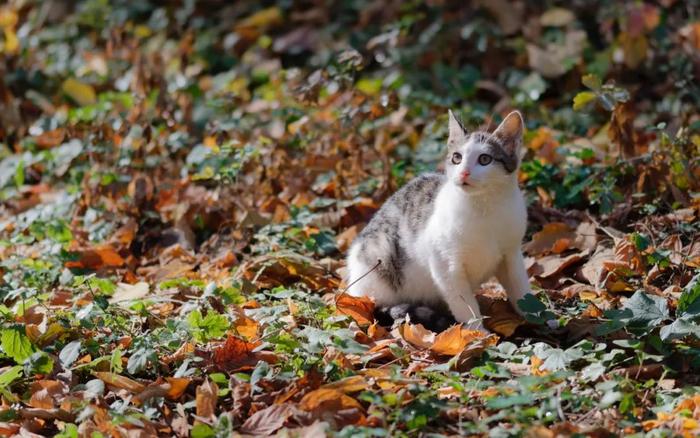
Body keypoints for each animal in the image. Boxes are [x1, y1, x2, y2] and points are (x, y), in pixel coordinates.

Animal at [348, 110, 532, 332]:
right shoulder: (445, 265)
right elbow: (464, 303)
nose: (464, 173)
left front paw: (540, 317)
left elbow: (520, 288)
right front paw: (477, 333)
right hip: (379, 257)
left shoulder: (511, 253)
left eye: (485, 159)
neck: (485, 207)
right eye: (456, 157)